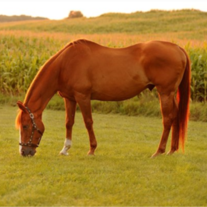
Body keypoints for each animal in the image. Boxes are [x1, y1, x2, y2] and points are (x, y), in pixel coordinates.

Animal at [15, 39, 191, 158]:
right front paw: (65, 149)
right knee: (175, 117)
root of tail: (178, 48)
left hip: (165, 93)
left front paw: (92, 149)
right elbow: (69, 123)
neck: (65, 64)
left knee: (167, 119)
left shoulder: (83, 97)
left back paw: (159, 151)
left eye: (25, 126)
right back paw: (171, 150)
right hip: (170, 94)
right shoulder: (70, 98)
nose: (24, 151)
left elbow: (88, 122)